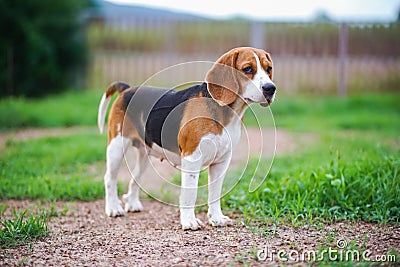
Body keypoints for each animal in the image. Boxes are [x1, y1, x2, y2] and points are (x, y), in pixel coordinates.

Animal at [97, 46, 276, 230]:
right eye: (247, 69)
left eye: (269, 69)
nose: (271, 88)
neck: (226, 112)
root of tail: (127, 89)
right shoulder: (192, 158)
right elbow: (190, 193)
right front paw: (189, 221)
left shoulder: (221, 162)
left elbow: (215, 193)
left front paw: (216, 218)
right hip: (116, 147)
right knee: (110, 179)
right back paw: (113, 208)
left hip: (144, 155)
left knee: (134, 179)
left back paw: (132, 204)